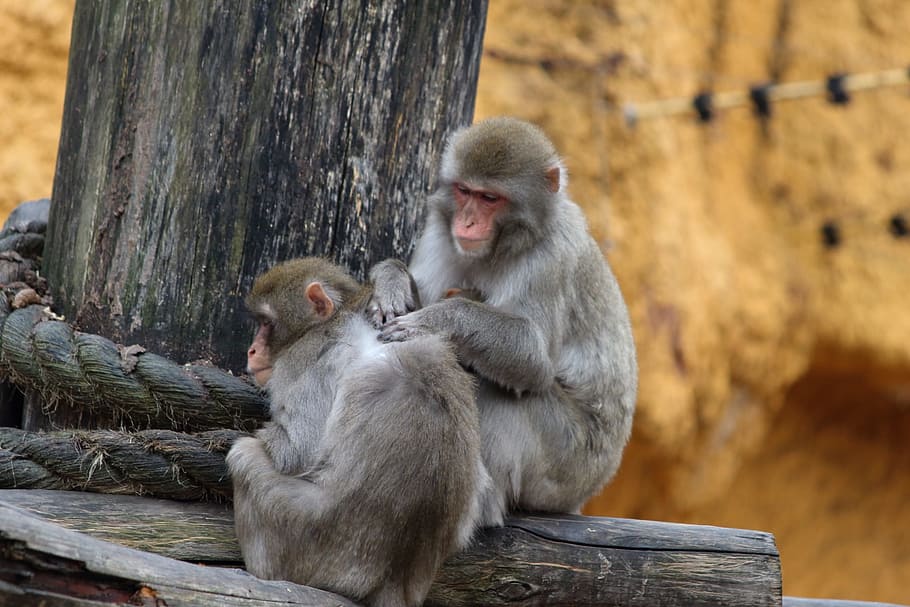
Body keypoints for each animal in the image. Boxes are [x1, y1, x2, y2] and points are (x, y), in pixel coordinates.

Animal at [226, 258, 487, 607]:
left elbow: (296, 452)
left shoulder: (305, 358)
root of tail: (394, 581)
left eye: (267, 323)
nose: (252, 351)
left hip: (301, 539)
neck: (334, 317)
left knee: (243, 456)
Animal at [369, 116, 638, 526]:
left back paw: (482, 506)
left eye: (489, 199)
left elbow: (533, 359)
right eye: (465, 191)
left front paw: (436, 320)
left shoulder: (550, 256)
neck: (499, 248)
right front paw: (390, 282)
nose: (467, 222)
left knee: (501, 390)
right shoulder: (440, 232)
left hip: (567, 464)